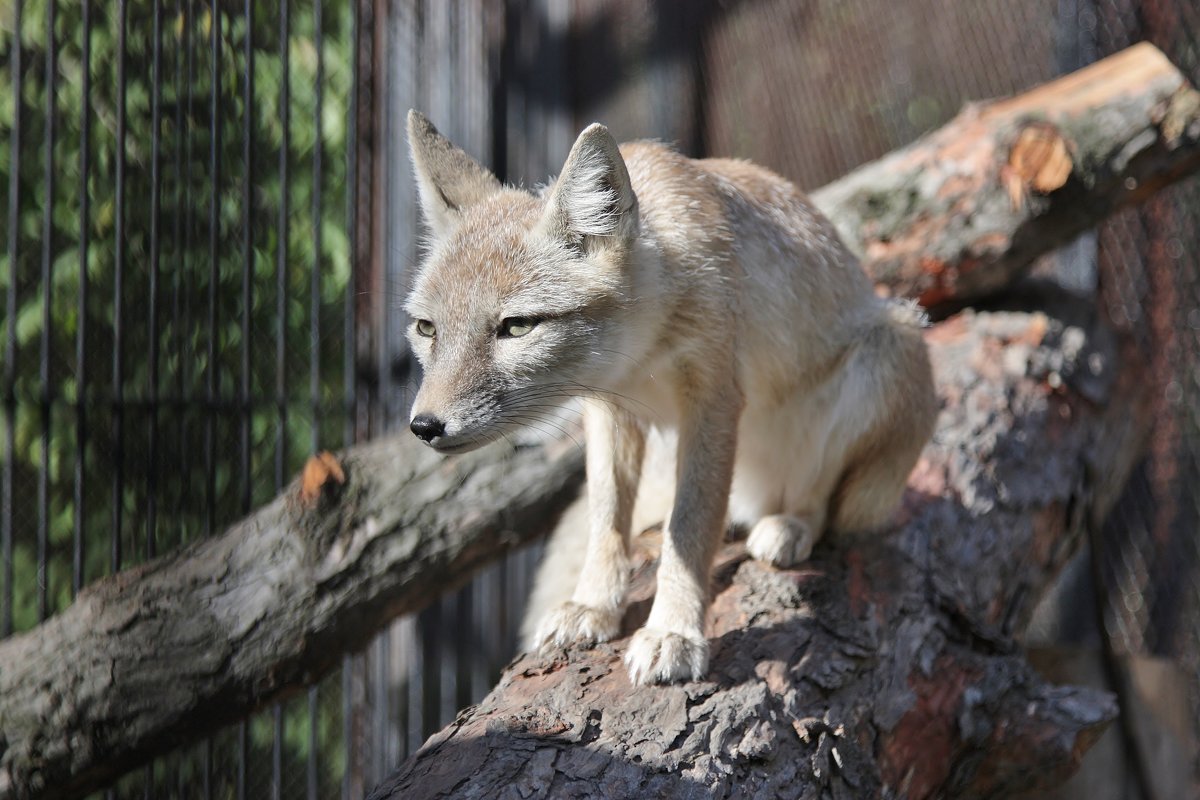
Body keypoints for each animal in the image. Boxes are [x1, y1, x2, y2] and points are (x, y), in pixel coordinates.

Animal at [403, 110, 936, 690]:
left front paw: (673, 632)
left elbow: (692, 523)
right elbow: (607, 516)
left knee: (821, 502)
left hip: (891, 346)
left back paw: (788, 526)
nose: (424, 426)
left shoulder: (714, 401)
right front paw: (594, 605)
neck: (643, 357)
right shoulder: (608, 412)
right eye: (426, 329)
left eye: (516, 326)